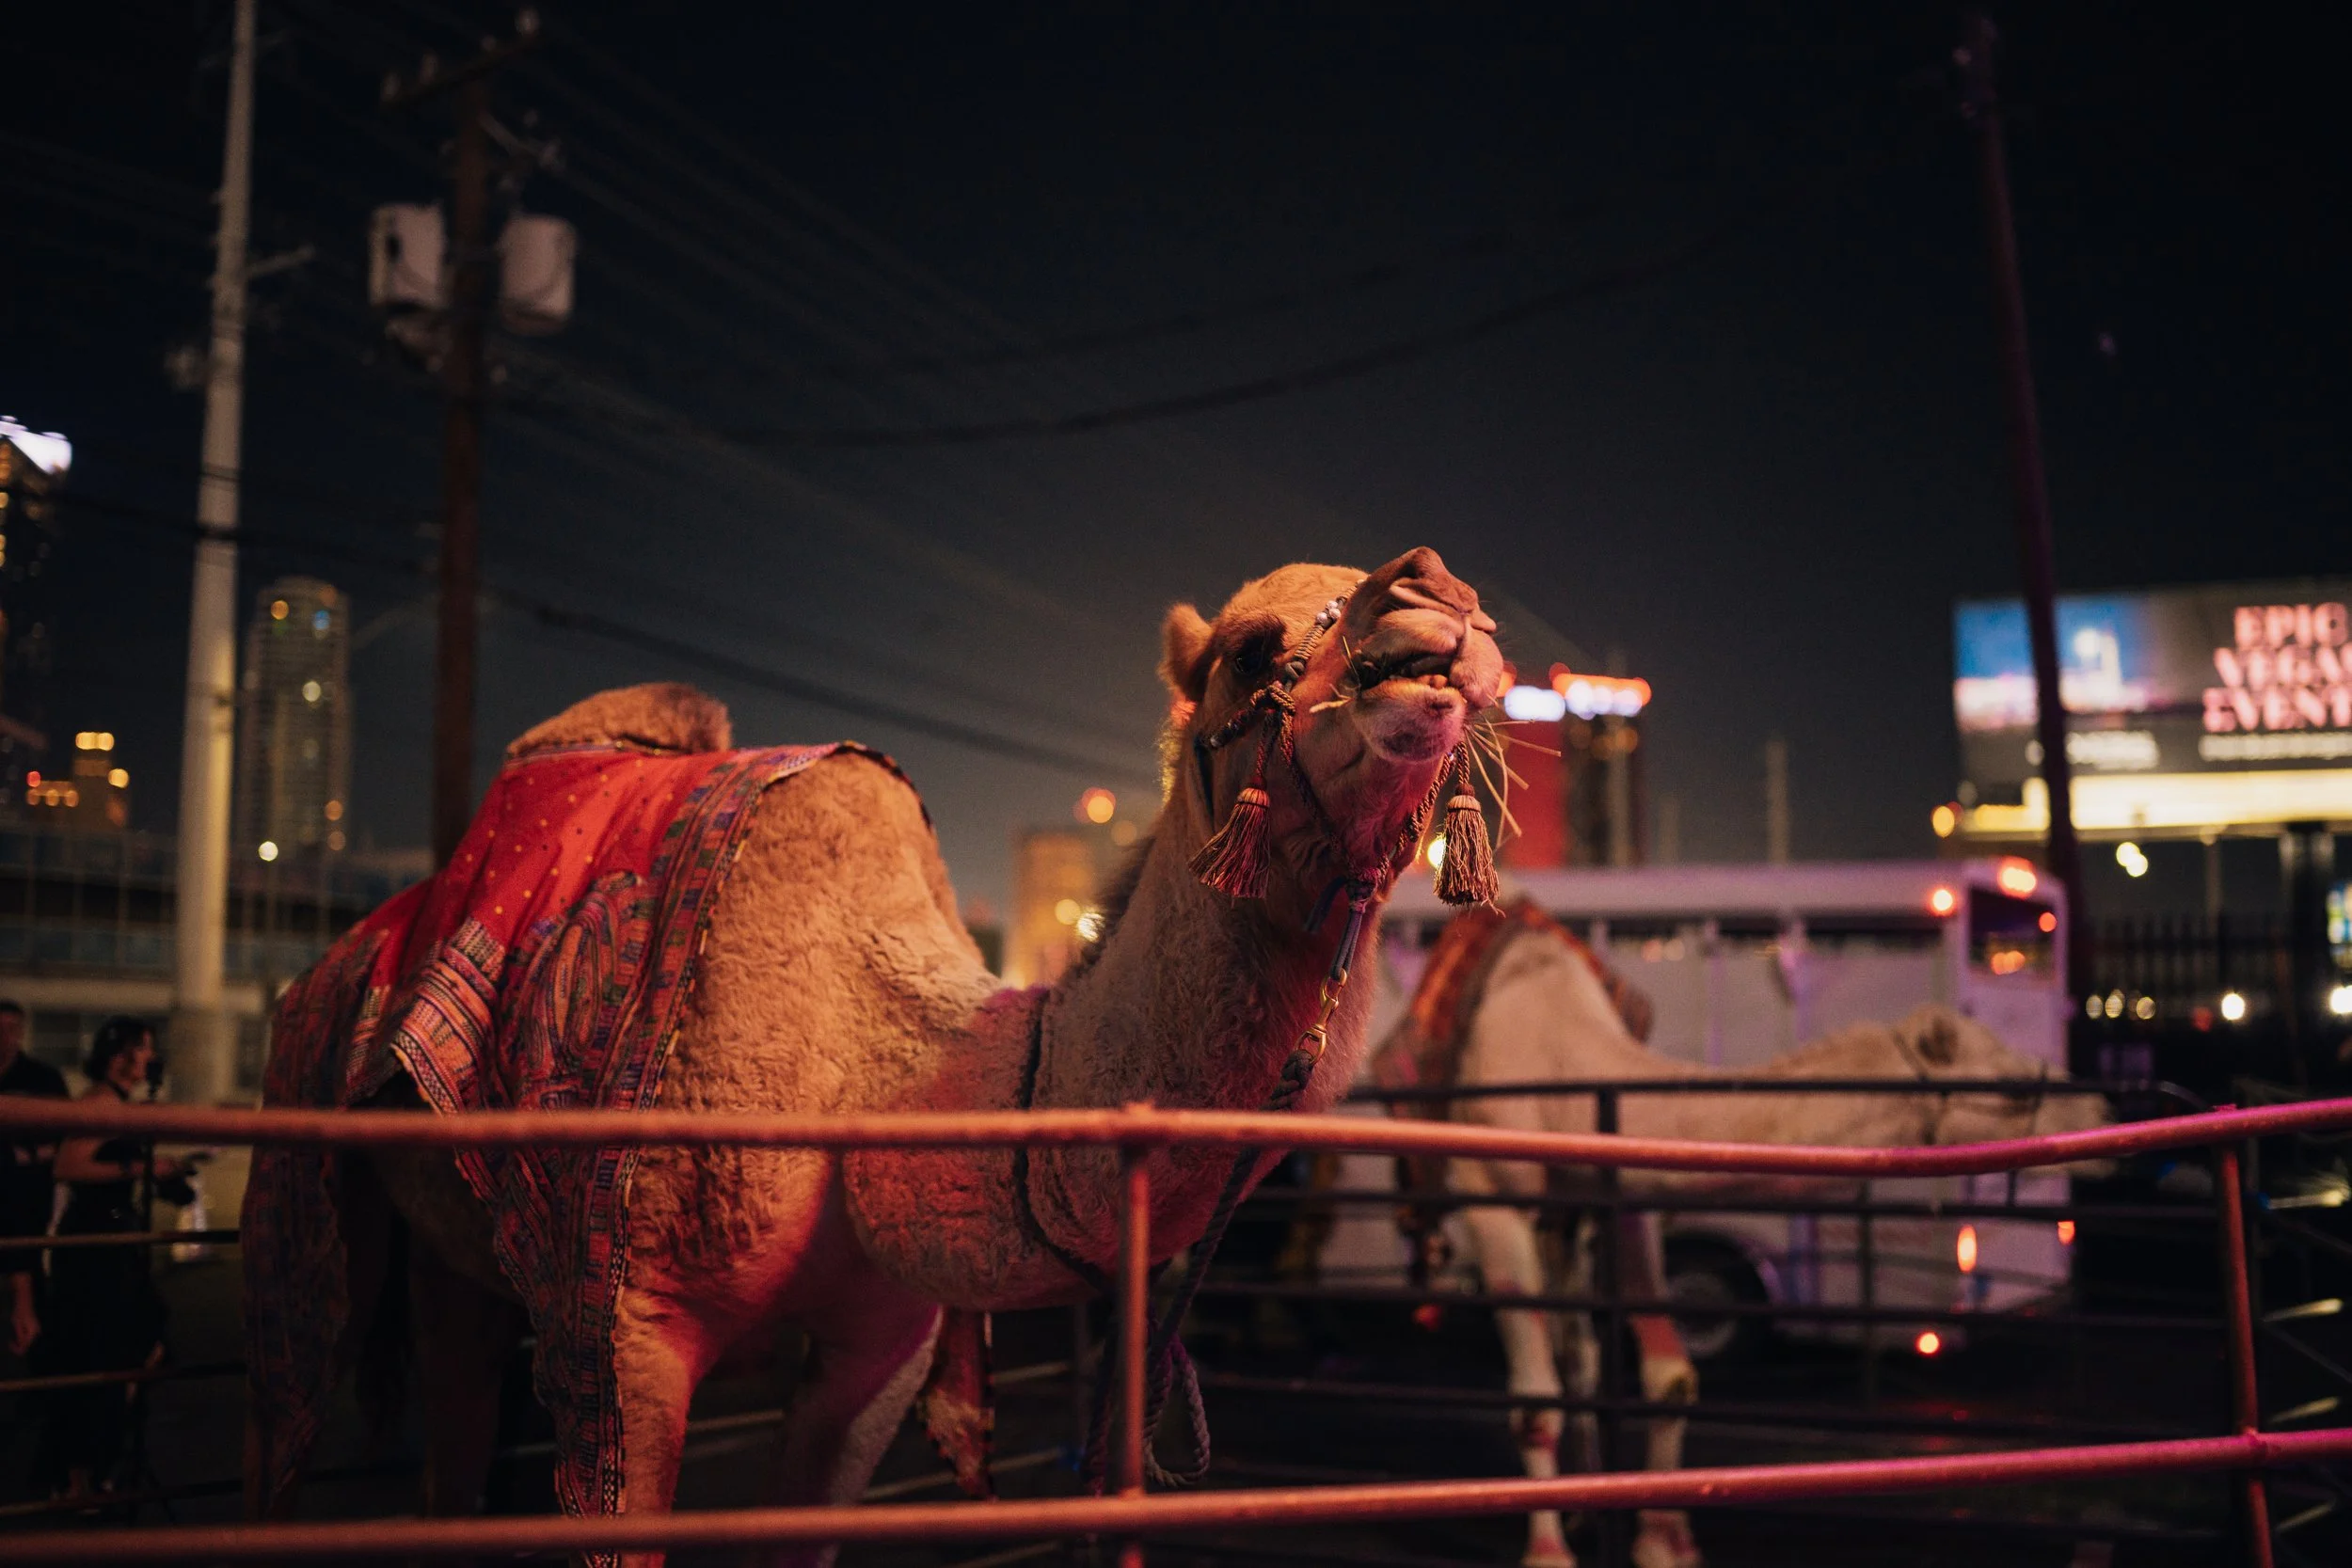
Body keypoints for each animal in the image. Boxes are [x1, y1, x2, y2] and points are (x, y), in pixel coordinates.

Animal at [241, 548, 1505, 1567]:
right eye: (1249, 652)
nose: (1435, 606)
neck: (883, 1074)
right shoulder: (622, 1333)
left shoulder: (881, 1349)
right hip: (318, 1157)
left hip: (458, 1245)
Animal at [1356, 903, 2109, 1568]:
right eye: (2011, 1086)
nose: (2100, 1112)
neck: (1559, 1054)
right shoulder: (1491, 1197)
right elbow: (1535, 1401)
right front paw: (1548, 1554)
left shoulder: (1622, 1192)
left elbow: (1671, 1377)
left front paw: (1666, 1543)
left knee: (1582, 1353)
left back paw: (1586, 1504)